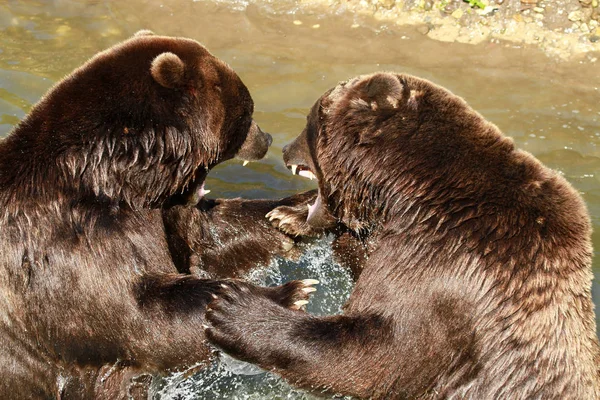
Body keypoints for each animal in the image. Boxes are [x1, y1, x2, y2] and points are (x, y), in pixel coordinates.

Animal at [0, 32, 316, 400]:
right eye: (246, 111)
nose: (265, 138)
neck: (115, 177)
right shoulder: (63, 247)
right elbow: (140, 316)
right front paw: (288, 294)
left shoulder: (156, 216)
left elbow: (211, 236)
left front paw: (298, 209)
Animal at [206, 72, 600, 400]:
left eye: (310, 121)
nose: (284, 146)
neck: (409, 189)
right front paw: (286, 216)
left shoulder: (451, 267)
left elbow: (383, 353)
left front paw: (233, 306)